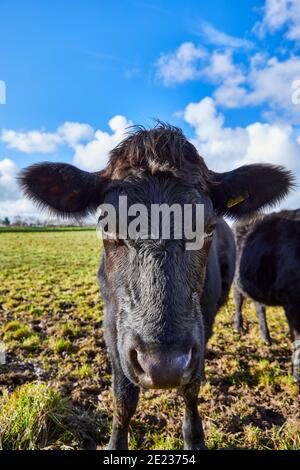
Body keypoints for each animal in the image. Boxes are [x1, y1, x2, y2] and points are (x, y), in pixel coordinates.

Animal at [19, 124, 292, 448]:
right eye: (107, 226)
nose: (162, 365)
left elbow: (191, 388)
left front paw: (193, 439)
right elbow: (123, 396)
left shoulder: (199, 328)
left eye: (207, 227)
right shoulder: (113, 325)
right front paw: (116, 442)